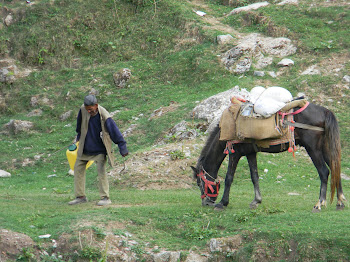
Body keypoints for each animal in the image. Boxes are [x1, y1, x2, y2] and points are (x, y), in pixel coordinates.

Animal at [193, 101, 346, 212]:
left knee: (324, 172)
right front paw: (256, 201)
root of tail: (325, 111)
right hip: (325, 147)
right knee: (335, 168)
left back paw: (319, 203)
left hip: (313, 148)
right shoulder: (250, 153)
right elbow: (254, 176)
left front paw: (222, 203)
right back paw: (339, 202)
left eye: (199, 182)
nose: (206, 203)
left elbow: (229, 178)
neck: (227, 129)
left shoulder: (234, 153)